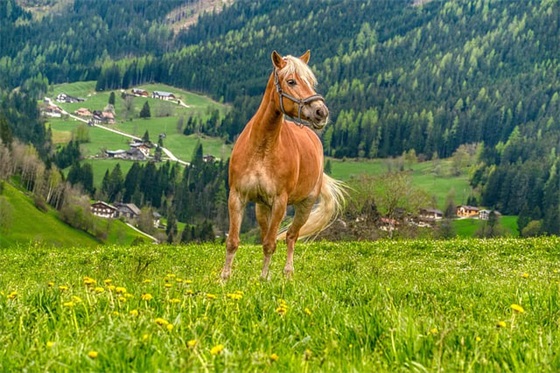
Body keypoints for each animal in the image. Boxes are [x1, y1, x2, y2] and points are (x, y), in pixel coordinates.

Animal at [220, 50, 344, 280]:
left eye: (310, 81)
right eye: (291, 81)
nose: (321, 112)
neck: (261, 149)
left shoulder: (279, 203)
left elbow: (270, 244)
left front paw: (263, 279)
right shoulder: (237, 197)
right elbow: (233, 241)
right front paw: (224, 278)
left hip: (304, 206)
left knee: (291, 237)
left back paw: (287, 273)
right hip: (261, 207)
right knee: (267, 233)